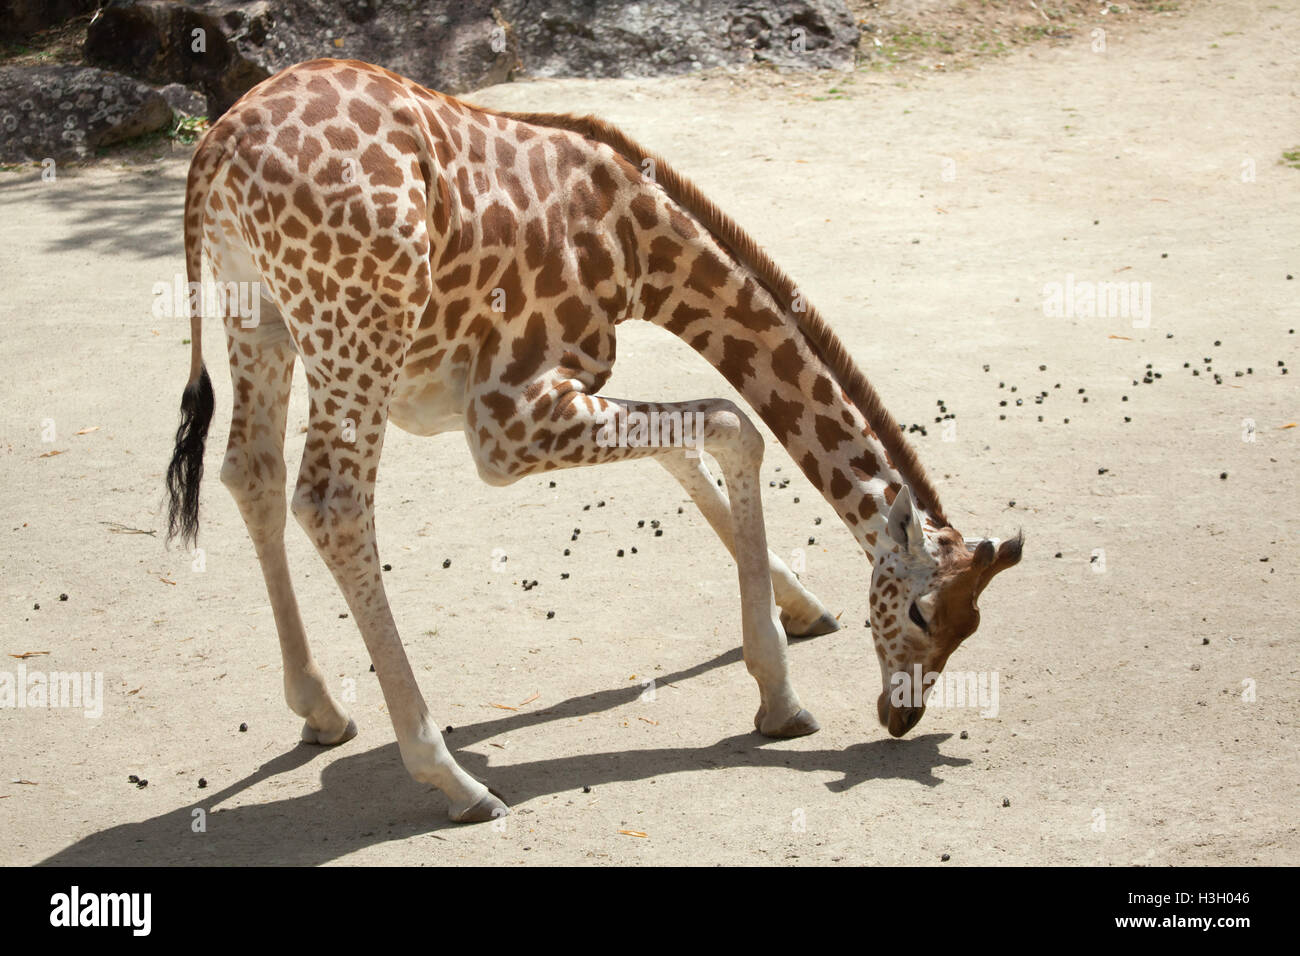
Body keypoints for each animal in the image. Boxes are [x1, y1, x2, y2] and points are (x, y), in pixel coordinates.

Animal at [165, 58, 1022, 822]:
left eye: (971, 626)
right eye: (920, 614)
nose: (901, 716)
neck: (640, 244)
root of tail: (216, 147)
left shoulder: (546, 398)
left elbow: (691, 440)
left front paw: (801, 609)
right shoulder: (507, 420)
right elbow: (734, 425)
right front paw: (780, 697)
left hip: (262, 316)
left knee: (251, 470)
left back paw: (320, 707)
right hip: (360, 327)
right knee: (332, 502)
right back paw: (453, 780)